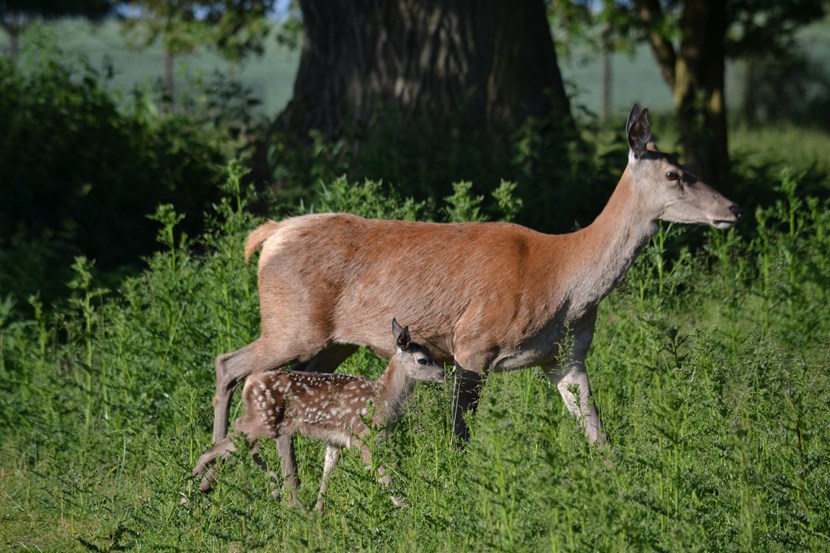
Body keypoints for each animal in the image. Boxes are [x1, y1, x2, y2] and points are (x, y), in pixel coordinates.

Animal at [197, 102, 748, 470]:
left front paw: (617, 481)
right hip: (292, 322)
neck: (567, 282)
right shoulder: (474, 342)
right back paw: (229, 461)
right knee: (230, 364)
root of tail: (270, 236)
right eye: (675, 174)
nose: (733, 208)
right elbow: (461, 435)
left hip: (332, 342)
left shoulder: (567, 355)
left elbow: (596, 430)